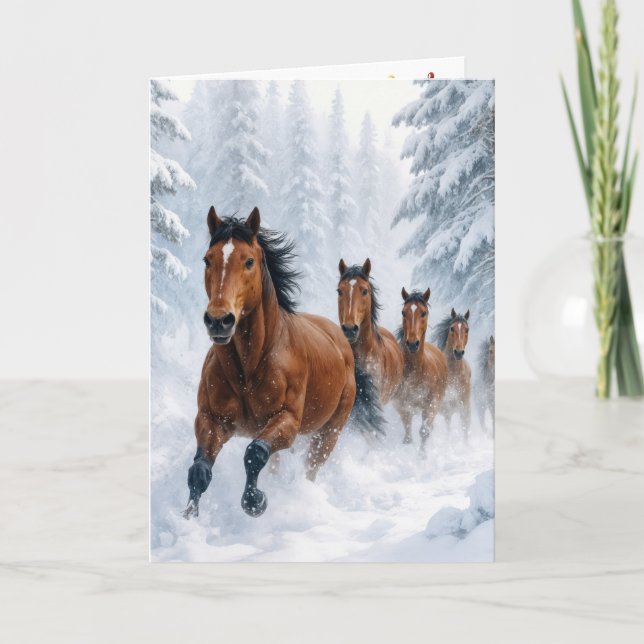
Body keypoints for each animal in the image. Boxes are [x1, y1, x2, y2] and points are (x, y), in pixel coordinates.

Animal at [184, 206, 376, 519]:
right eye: (207, 259)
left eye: (248, 261)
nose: (218, 320)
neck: (248, 368)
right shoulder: (210, 419)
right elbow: (199, 471)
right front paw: (188, 518)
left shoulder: (287, 420)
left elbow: (254, 454)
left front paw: (255, 502)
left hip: (329, 432)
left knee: (311, 466)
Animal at [393, 288, 448, 454]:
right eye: (403, 312)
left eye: (423, 312)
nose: (412, 343)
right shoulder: (402, 405)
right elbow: (407, 433)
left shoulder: (431, 405)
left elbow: (424, 431)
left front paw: (421, 456)